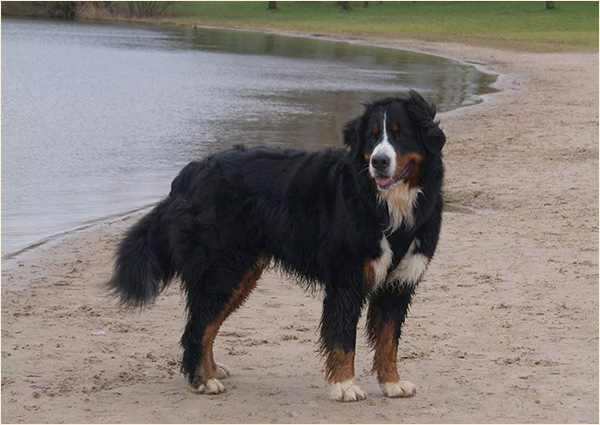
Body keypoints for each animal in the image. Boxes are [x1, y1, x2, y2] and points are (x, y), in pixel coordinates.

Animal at [109, 90, 445, 402]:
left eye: (401, 134)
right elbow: (343, 338)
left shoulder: (398, 284)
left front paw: (392, 383)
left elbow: (389, 341)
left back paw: (211, 370)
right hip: (222, 269)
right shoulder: (347, 279)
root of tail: (190, 173)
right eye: (373, 137)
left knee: (208, 324)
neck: (389, 207)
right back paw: (200, 380)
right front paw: (344, 386)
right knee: (197, 327)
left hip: (239, 273)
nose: (379, 161)